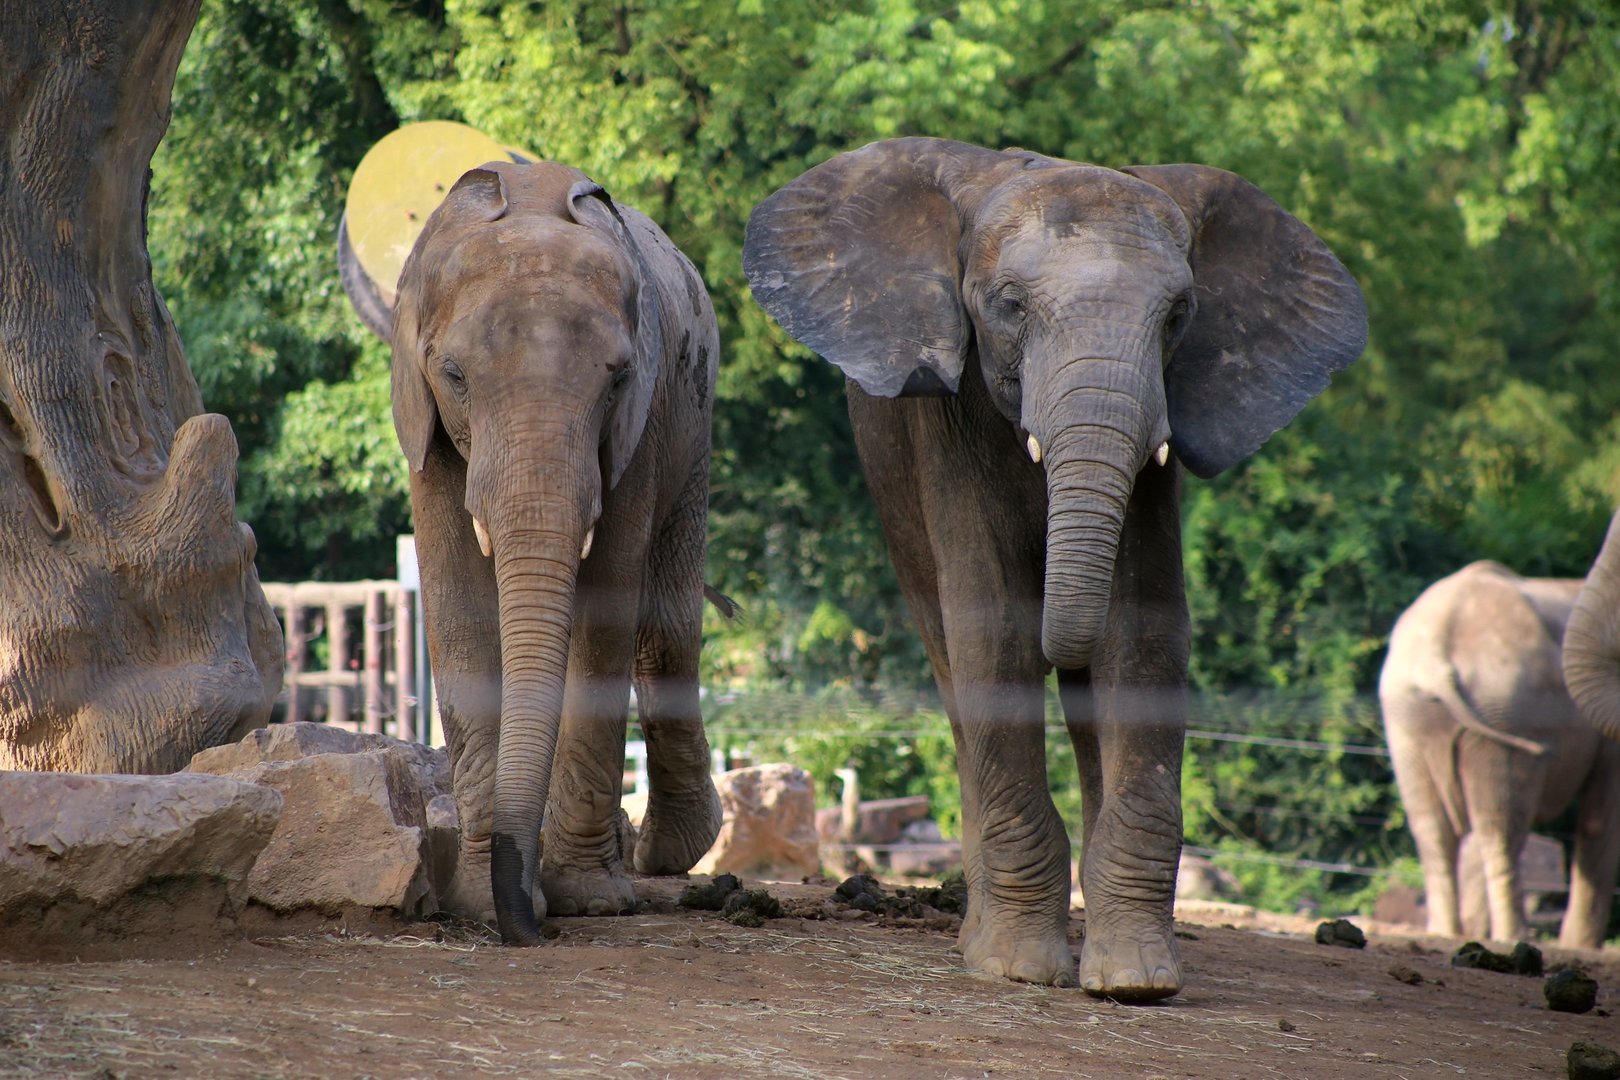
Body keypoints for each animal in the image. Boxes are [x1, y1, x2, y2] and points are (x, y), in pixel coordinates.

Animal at [342, 159, 723, 945]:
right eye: (454, 376)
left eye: (617, 378)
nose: (530, 929)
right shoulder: (422, 423)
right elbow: (459, 607)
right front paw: (485, 905)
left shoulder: (641, 423)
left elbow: (605, 611)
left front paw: (587, 901)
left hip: (695, 420)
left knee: (664, 632)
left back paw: (669, 853)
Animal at [742, 137, 1367, 999]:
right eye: (1007, 304)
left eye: (1179, 316)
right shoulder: (950, 421)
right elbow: (993, 630)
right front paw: (1017, 969)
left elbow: (1144, 635)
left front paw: (1135, 980)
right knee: (952, 661)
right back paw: (977, 938)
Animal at [1379, 560, 1620, 950]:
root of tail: (1437, 646)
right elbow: (1601, 817)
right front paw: (1579, 947)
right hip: (1506, 704)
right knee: (1501, 824)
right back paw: (1514, 938)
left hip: (1412, 713)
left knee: (1437, 825)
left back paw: (1447, 932)